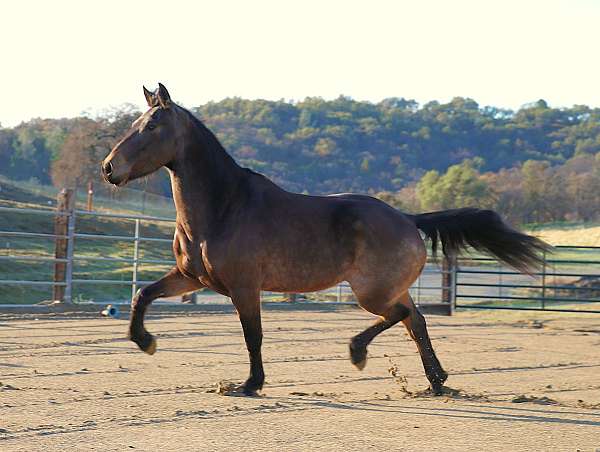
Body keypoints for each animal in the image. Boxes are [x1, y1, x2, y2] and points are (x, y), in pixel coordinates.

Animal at [102, 84, 548, 396]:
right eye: (133, 125)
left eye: (152, 127)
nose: (109, 168)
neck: (223, 207)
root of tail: (406, 218)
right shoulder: (192, 277)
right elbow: (143, 294)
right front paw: (145, 342)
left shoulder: (245, 287)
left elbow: (253, 336)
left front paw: (250, 384)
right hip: (386, 288)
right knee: (415, 320)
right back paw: (436, 381)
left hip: (371, 292)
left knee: (401, 316)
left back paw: (359, 352)